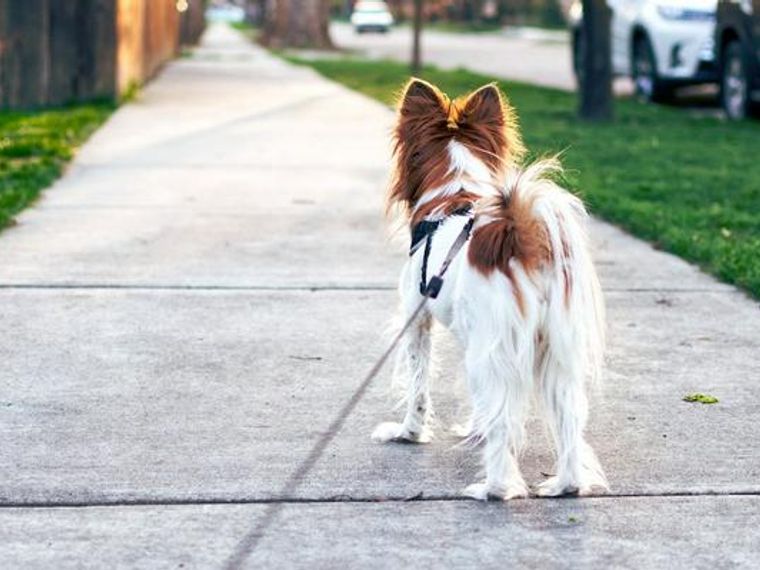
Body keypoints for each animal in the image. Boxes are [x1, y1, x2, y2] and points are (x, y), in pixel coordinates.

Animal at [372, 79, 608, 496]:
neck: (455, 192)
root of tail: (521, 237)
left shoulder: (418, 321)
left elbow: (419, 386)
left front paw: (408, 433)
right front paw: (473, 429)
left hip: (495, 348)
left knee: (504, 424)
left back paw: (492, 489)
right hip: (554, 351)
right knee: (568, 419)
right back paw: (565, 485)